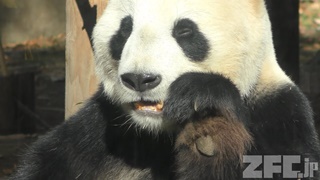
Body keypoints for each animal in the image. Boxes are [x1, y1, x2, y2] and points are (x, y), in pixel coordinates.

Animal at [10, 0, 320, 180]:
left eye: (184, 30)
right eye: (125, 29)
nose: (140, 79)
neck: (159, 132)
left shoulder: (277, 113)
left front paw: (204, 113)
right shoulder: (101, 132)